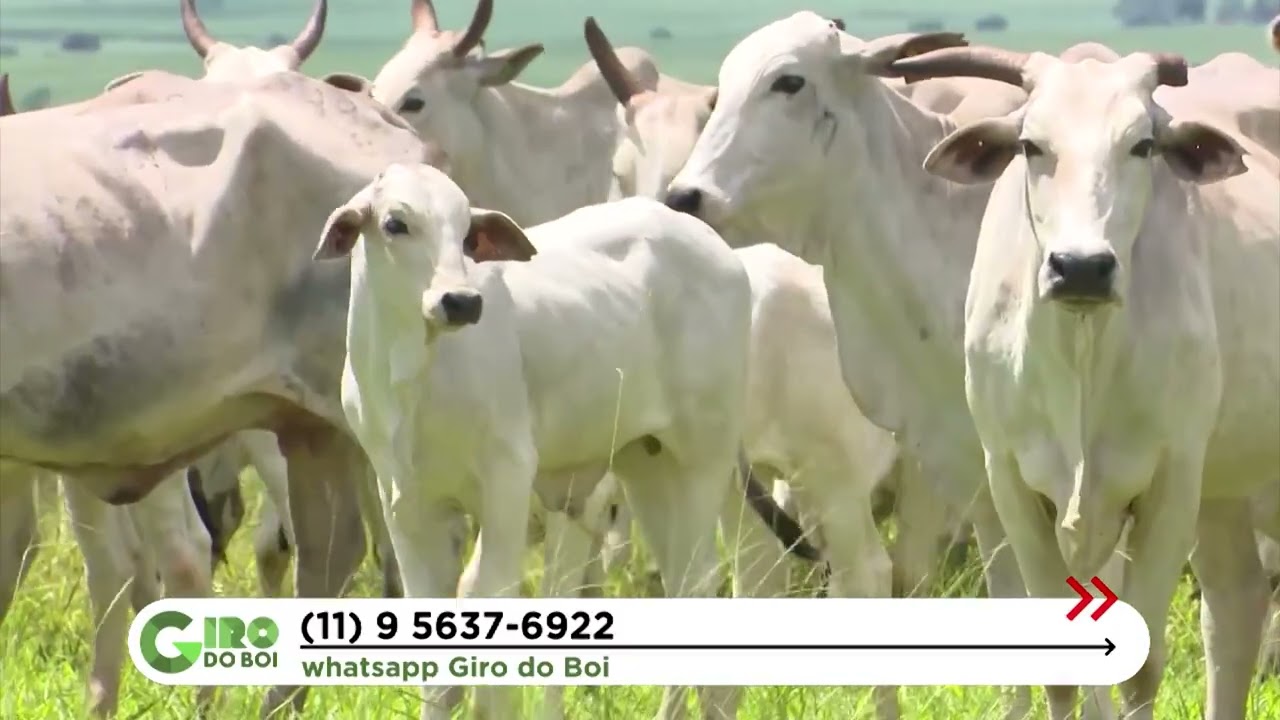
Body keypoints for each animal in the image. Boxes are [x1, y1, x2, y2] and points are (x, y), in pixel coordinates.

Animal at [313, 162, 812, 720]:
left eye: (465, 232)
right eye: (395, 224)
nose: (461, 301)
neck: (412, 373)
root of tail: (721, 252)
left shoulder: (507, 479)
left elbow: (492, 600)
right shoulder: (405, 501)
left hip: (703, 458)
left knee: (699, 583)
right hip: (646, 464)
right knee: (687, 580)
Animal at [884, 43, 1280, 720]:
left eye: (1143, 144)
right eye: (1030, 145)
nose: (1082, 268)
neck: (1081, 353)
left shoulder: (1172, 482)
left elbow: (1141, 671)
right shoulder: (1011, 484)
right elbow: (1061, 672)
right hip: (1222, 491)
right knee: (1234, 610)